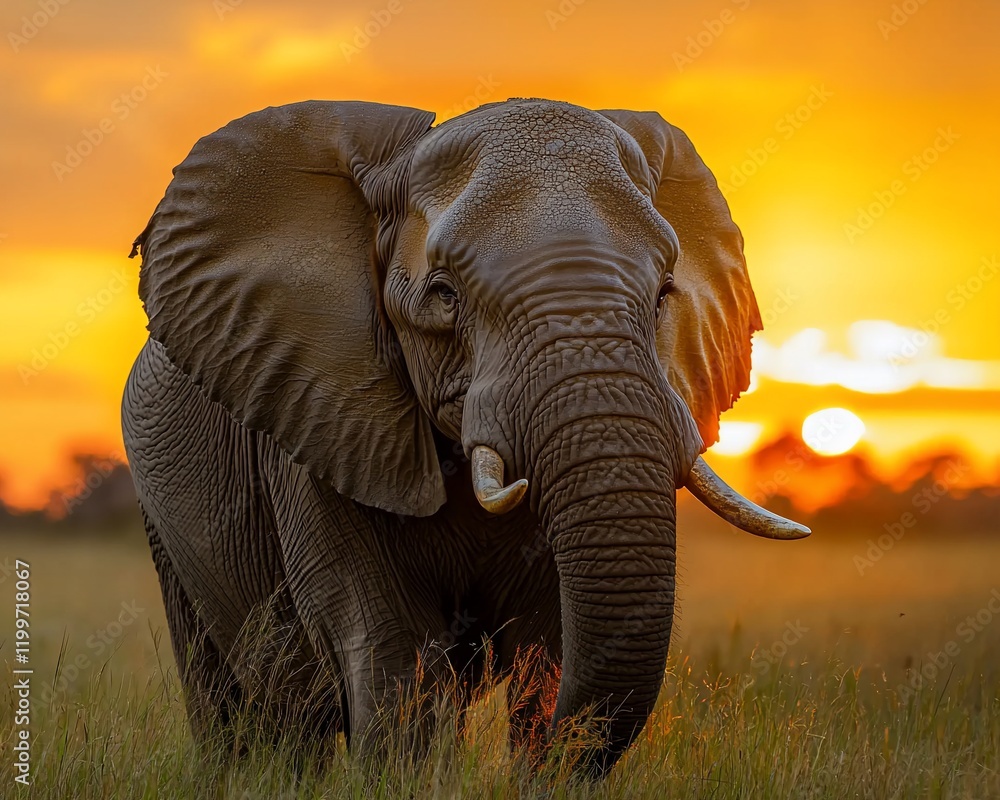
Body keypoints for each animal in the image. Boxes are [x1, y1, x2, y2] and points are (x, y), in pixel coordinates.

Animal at [122, 98, 809, 776]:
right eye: (444, 294)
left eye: (666, 292)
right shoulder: (315, 418)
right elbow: (394, 651)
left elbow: (549, 644)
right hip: (163, 522)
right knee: (253, 706)